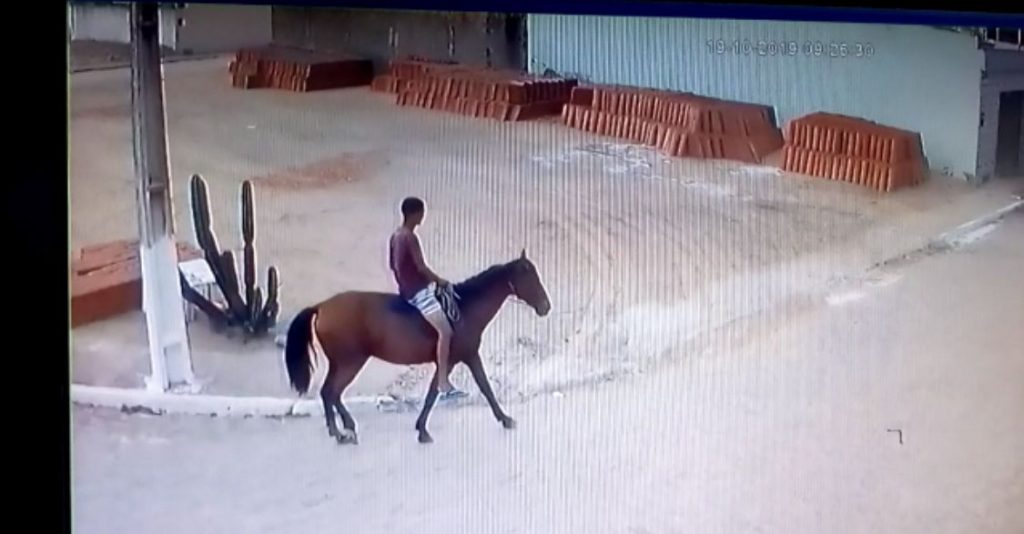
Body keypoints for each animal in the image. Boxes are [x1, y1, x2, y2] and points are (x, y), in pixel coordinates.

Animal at [284, 249, 551, 444]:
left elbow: (440, 391)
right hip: (350, 362)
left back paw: (342, 429)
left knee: (329, 393)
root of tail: (321, 306)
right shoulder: (462, 356)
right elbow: (479, 388)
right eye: (530, 278)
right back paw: (341, 433)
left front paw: (421, 428)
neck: (464, 309)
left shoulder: (455, 359)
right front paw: (505, 419)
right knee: (331, 392)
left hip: (342, 363)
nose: (546, 307)